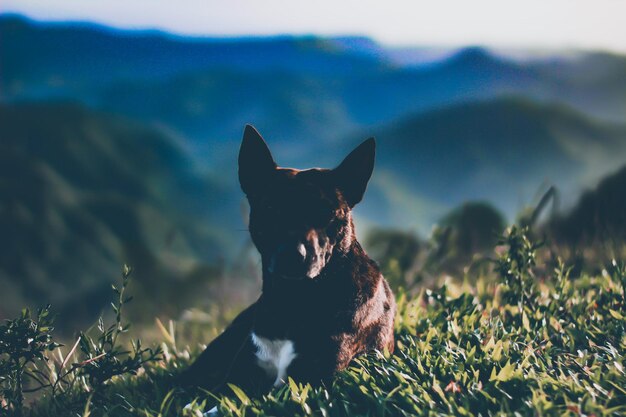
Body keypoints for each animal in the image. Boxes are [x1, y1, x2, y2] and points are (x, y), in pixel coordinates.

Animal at [179, 124, 394, 394]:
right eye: (271, 208)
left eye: (327, 212)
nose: (293, 255)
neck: (291, 303)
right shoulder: (235, 379)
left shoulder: (313, 376)